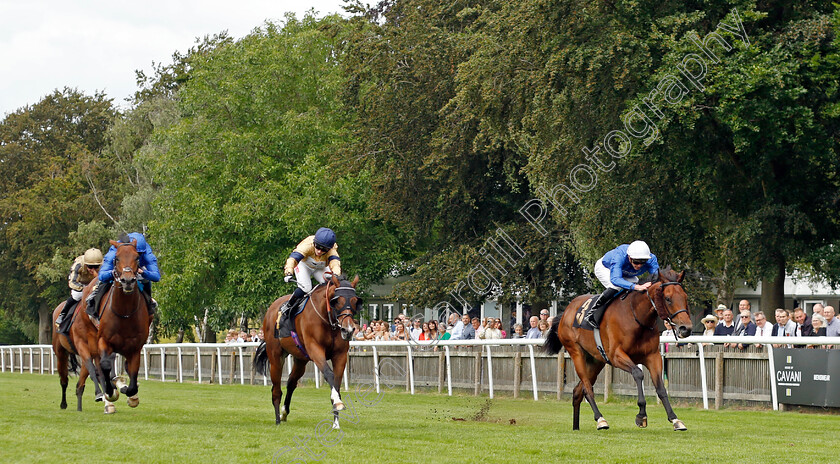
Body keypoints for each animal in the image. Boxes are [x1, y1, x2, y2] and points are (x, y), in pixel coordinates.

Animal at [256, 274, 360, 430]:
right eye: (337, 301)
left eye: (354, 301)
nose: (348, 330)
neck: (327, 319)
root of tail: (271, 308)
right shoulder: (315, 349)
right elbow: (329, 374)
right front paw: (337, 401)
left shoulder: (340, 355)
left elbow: (336, 382)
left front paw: (336, 421)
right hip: (275, 357)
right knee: (276, 389)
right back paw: (277, 419)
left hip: (301, 359)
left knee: (291, 382)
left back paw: (284, 413)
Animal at [544, 268, 696, 432]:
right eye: (668, 298)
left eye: (685, 297)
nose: (686, 328)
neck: (637, 317)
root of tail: (565, 312)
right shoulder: (616, 356)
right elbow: (638, 373)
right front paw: (641, 415)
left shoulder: (653, 356)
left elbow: (661, 387)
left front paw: (675, 419)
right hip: (576, 353)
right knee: (587, 388)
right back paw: (600, 419)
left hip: (596, 361)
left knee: (578, 390)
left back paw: (576, 427)